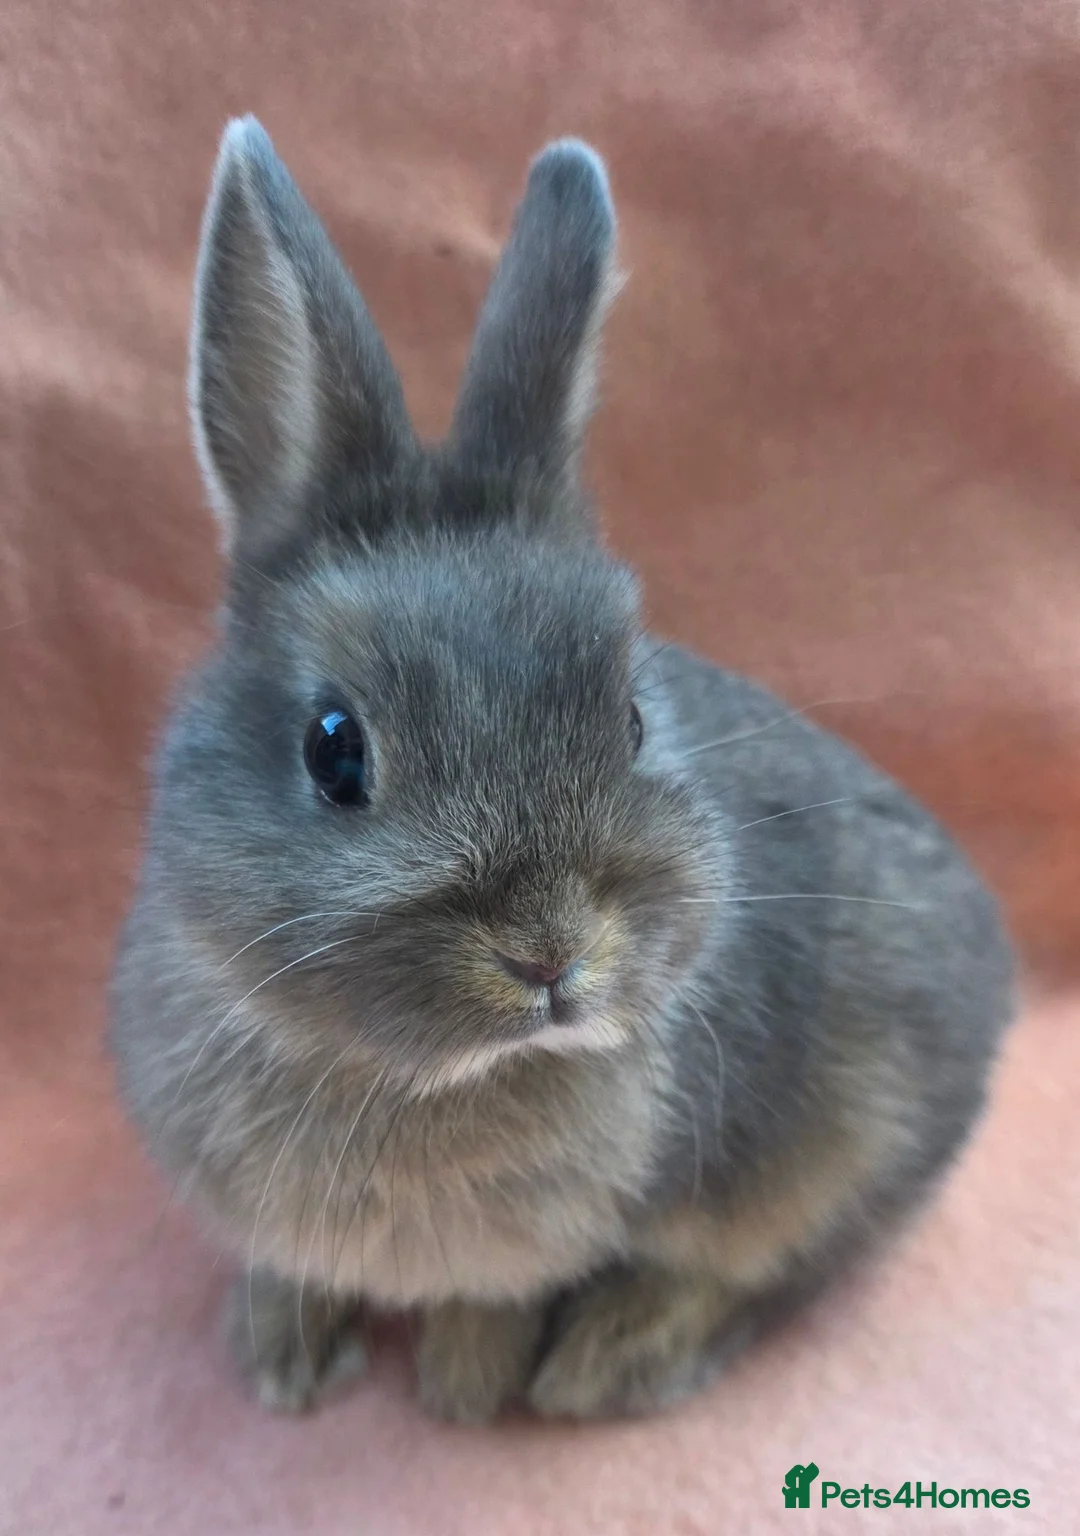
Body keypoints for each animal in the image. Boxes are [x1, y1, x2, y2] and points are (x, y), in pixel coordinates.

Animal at [110, 116, 1015, 1424]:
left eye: (632, 721)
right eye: (334, 748)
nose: (548, 954)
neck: (414, 1080)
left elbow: (505, 1297)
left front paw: (464, 1390)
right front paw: (282, 1363)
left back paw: (608, 1360)